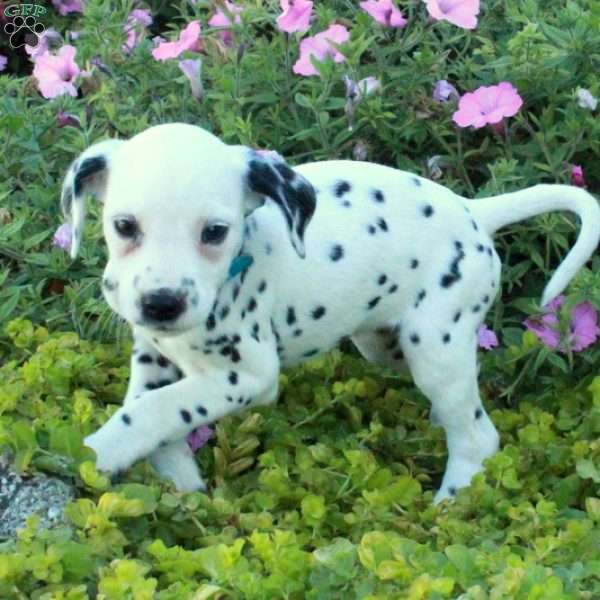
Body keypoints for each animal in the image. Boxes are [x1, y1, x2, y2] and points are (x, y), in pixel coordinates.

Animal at [62, 124, 600, 504]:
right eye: (124, 226)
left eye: (214, 231)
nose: (162, 302)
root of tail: (473, 211)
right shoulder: (153, 357)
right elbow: (151, 412)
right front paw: (180, 483)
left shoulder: (245, 376)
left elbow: (153, 411)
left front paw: (97, 453)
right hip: (385, 343)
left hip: (435, 349)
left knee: (477, 436)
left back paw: (451, 503)